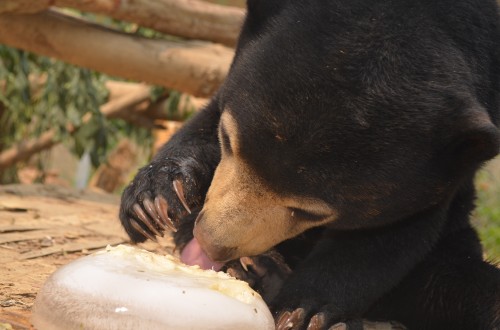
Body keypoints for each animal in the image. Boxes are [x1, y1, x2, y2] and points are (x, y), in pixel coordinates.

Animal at [118, 1, 500, 328]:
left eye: (310, 212)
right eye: (228, 141)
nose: (211, 244)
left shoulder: (439, 176)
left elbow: (387, 240)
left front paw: (304, 310)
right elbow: (203, 124)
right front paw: (151, 204)